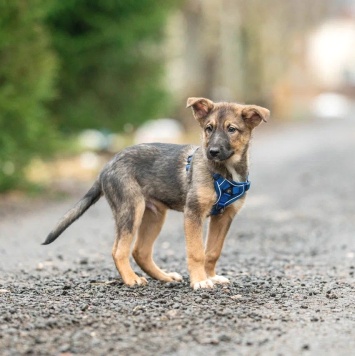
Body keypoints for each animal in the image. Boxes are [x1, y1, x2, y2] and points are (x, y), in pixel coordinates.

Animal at [43, 97, 270, 290]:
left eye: (232, 129)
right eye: (209, 128)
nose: (212, 151)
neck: (225, 170)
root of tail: (106, 166)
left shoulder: (224, 216)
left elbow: (213, 251)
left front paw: (211, 276)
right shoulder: (193, 213)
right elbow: (197, 252)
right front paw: (200, 281)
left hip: (154, 215)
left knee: (140, 252)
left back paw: (164, 276)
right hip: (131, 208)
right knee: (119, 251)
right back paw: (131, 279)